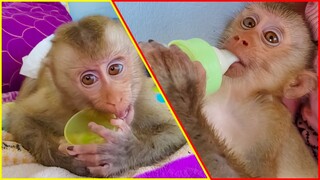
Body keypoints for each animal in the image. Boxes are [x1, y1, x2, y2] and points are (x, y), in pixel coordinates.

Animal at [8, 15, 185, 177]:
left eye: (114, 69)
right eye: (88, 79)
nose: (115, 99)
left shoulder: (143, 100)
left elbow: (176, 129)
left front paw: (122, 151)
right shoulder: (55, 102)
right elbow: (21, 118)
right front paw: (69, 159)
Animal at [142, 2, 318, 178]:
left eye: (271, 38)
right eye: (249, 23)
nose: (241, 39)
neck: (233, 94)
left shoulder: (272, 121)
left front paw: (179, 90)